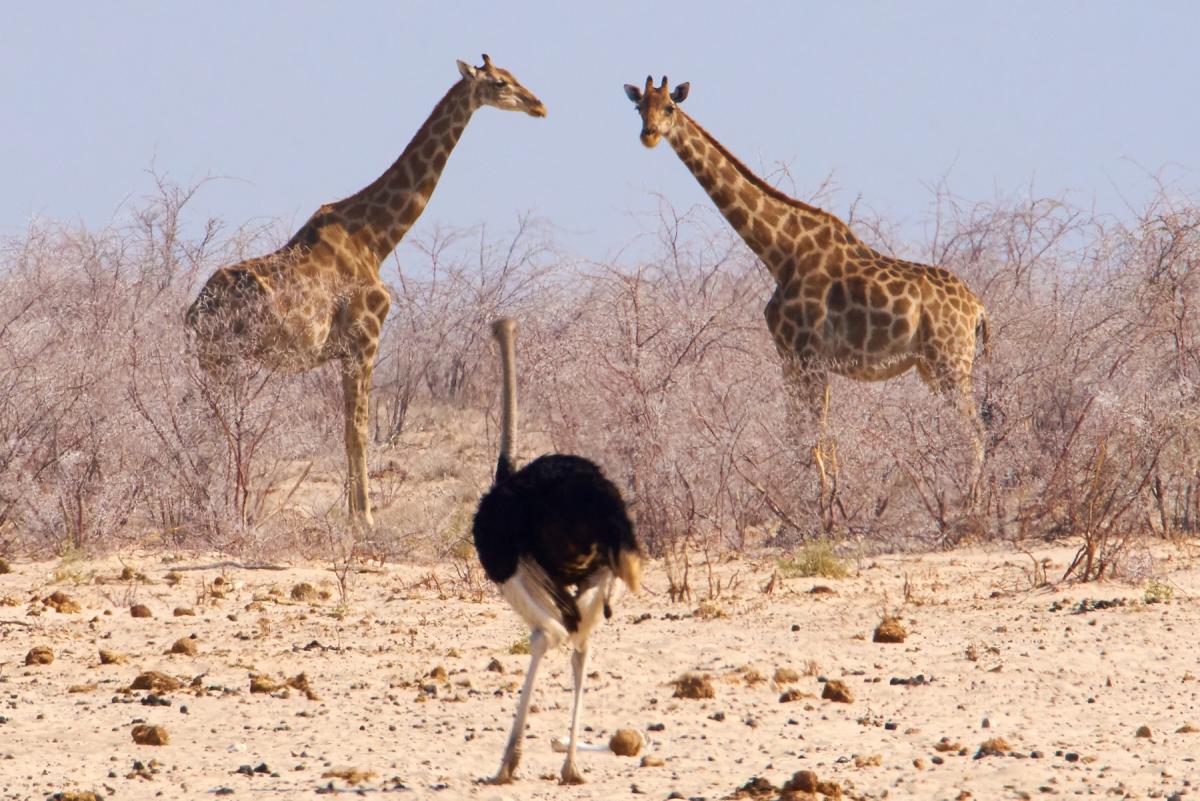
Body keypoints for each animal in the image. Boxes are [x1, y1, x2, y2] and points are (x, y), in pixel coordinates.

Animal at [187, 55, 546, 527]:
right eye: (501, 82)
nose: (539, 105)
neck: (376, 237)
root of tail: (193, 311)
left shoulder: (345, 350)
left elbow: (347, 429)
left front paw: (355, 514)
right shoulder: (365, 338)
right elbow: (358, 430)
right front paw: (365, 519)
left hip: (215, 360)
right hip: (223, 358)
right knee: (214, 424)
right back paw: (222, 511)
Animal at [624, 76, 990, 507]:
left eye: (670, 108)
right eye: (640, 108)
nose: (649, 135)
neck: (778, 252)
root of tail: (979, 308)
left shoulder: (811, 355)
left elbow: (811, 438)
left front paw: (819, 508)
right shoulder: (789, 356)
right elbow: (798, 436)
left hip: (951, 363)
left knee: (975, 432)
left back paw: (969, 505)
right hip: (932, 368)